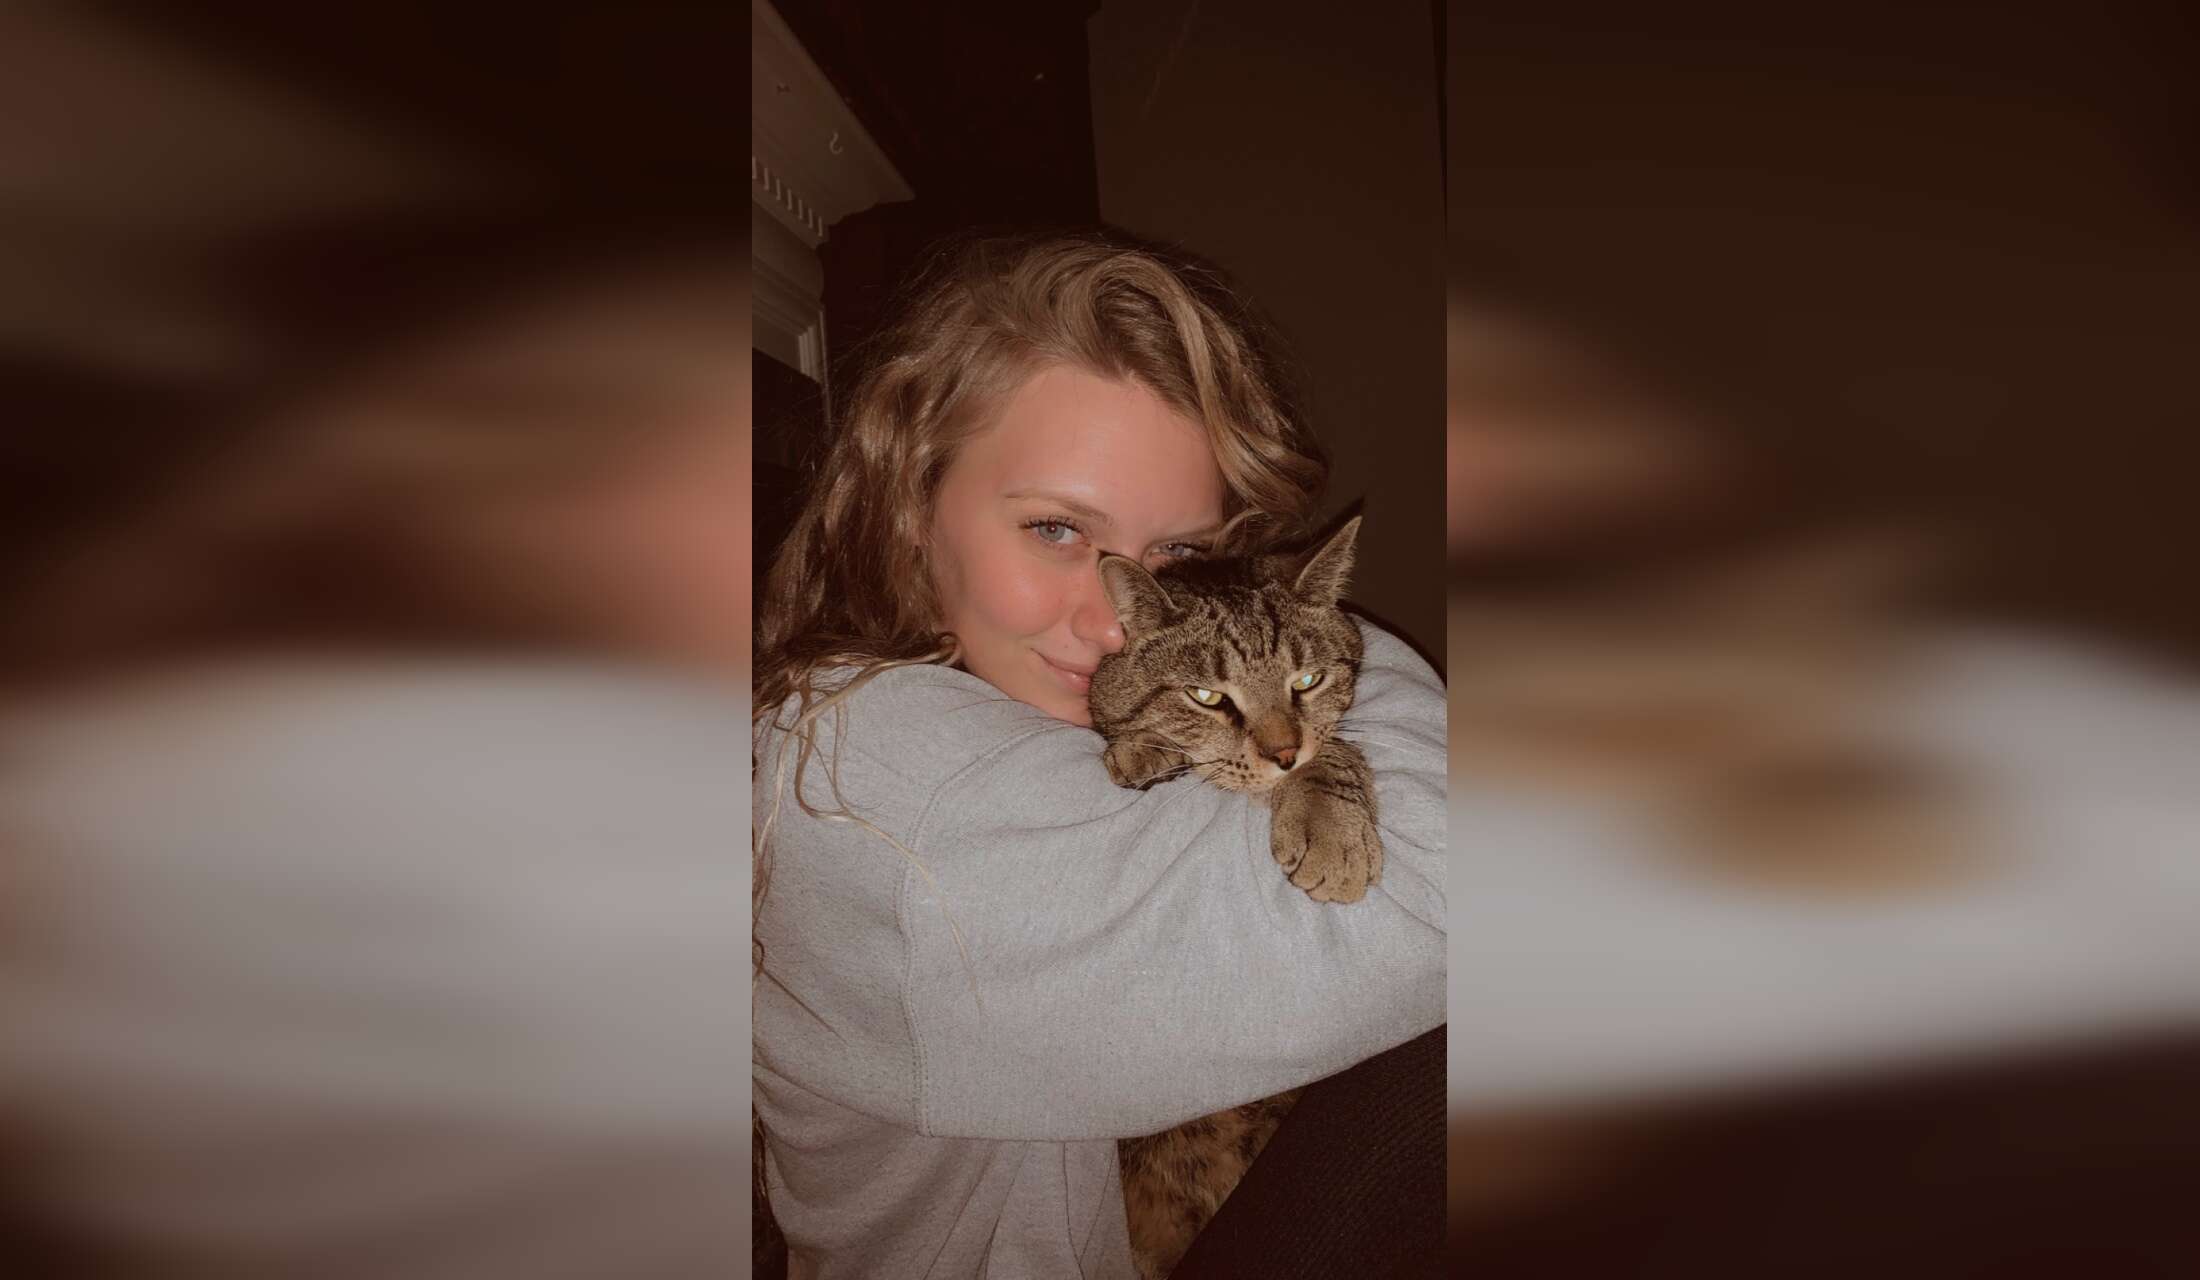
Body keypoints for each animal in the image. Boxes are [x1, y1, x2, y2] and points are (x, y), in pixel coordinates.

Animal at [1088, 514, 1381, 1279]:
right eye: (1207, 697)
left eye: (1307, 680)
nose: (1282, 754)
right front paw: (1142, 749)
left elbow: (1334, 750)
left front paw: (1329, 825)